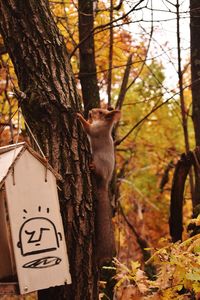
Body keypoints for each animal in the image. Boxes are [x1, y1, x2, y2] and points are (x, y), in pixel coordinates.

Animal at [76, 108, 120, 268]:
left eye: (101, 112)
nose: (91, 110)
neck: (104, 126)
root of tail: (104, 183)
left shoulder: (96, 131)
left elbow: (88, 128)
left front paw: (80, 116)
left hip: (99, 164)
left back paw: (92, 167)